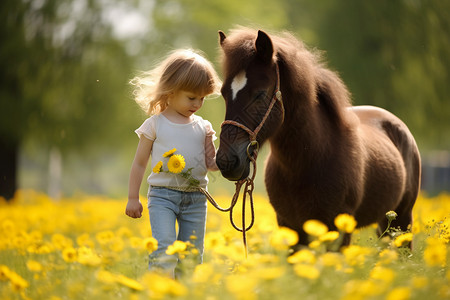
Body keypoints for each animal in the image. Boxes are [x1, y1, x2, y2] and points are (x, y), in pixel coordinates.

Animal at [216, 27, 420, 245]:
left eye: (260, 93)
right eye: (224, 93)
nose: (227, 161)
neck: (310, 160)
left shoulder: (338, 229)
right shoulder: (290, 226)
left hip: (402, 219)